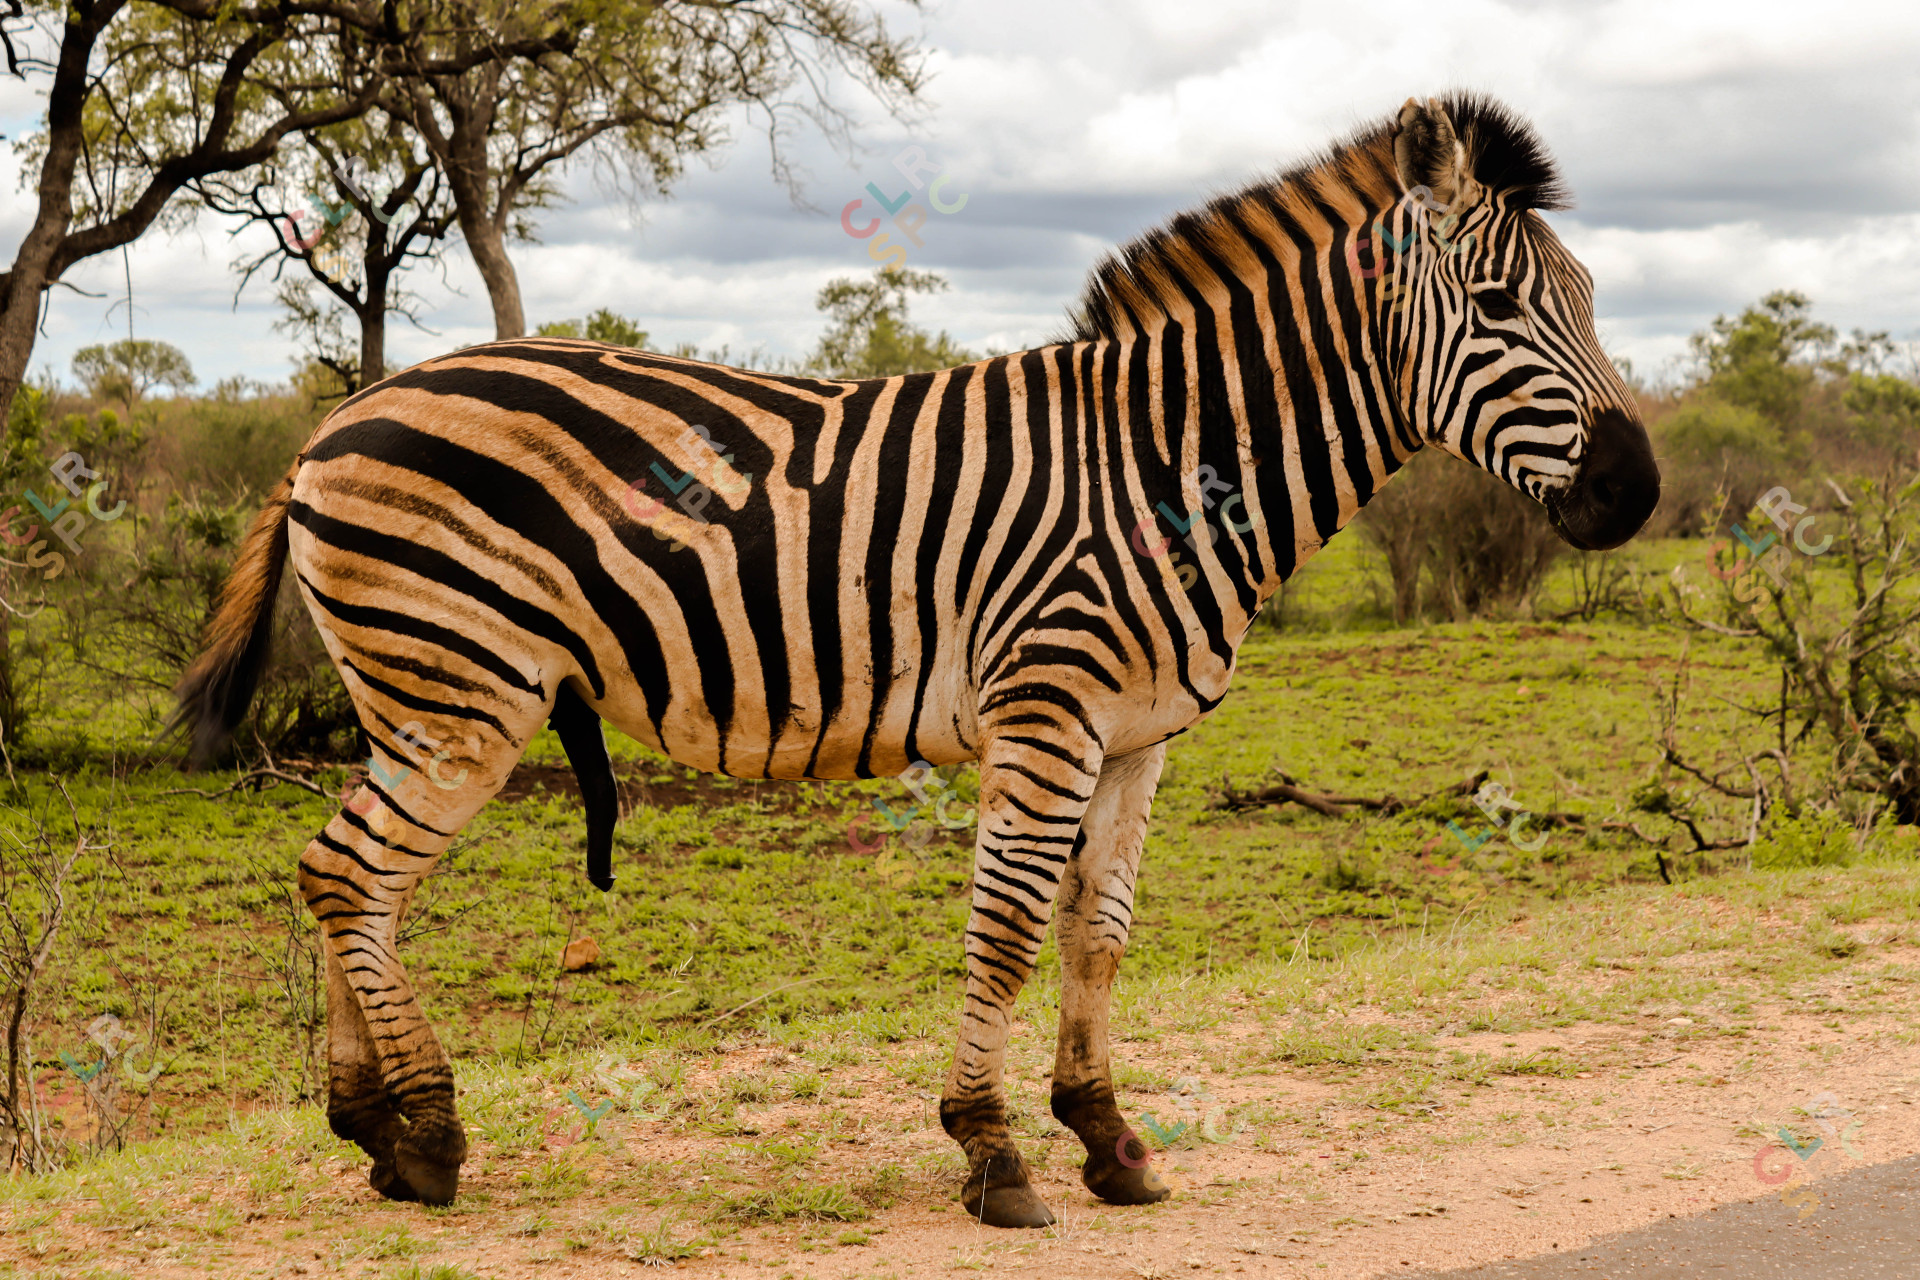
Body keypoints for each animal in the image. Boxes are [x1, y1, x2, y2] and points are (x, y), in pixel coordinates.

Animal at [173, 92, 1658, 1227]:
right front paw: (994, 1150)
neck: (1168, 466)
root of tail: (334, 420)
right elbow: (1005, 930)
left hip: (416, 697)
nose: (1636, 492)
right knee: (351, 875)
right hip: (463, 691)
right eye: (1499, 304)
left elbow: (1100, 933)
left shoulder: (1140, 736)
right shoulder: (1049, 710)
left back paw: (371, 1129)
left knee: (345, 880)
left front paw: (1107, 1135)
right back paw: (427, 1137)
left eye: (1589, 296)